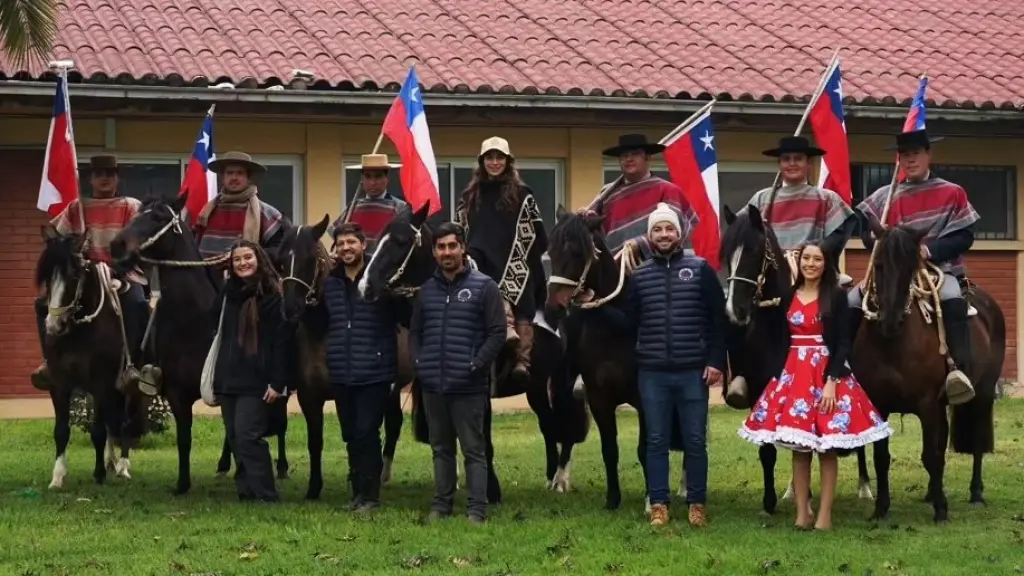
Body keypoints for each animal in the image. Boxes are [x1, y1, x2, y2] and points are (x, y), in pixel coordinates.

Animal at [36, 225, 146, 487]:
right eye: (47, 276)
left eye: (75, 276)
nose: (54, 325)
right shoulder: (59, 384)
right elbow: (61, 431)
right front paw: (57, 477)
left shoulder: (100, 384)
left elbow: (97, 431)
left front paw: (99, 474)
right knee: (113, 422)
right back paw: (110, 460)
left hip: (130, 385)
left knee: (125, 422)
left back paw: (122, 466)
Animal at [276, 215, 411, 498]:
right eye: (280, 260)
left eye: (310, 259)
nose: (291, 308)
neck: (321, 332)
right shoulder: (308, 396)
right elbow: (315, 441)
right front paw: (314, 488)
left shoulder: (342, 394)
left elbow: (352, 435)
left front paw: (354, 480)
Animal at [360, 201, 589, 494]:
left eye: (401, 241)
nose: (365, 286)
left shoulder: (480, 388)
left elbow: (483, 438)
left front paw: (491, 490)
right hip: (535, 385)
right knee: (547, 424)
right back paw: (550, 476)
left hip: (562, 379)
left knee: (565, 422)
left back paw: (561, 479)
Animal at [851, 211, 1003, 520]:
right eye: (879, 265)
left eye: (911, 268)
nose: (891, 320)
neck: (892, 345)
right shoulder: (881, 404)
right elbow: (882, 457)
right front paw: (881, 508)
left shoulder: (927, 404)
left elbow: (931, 456)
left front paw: (941, 510)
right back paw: (932, 492)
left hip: (981, 394)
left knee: (976, 442)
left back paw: (975, 494)